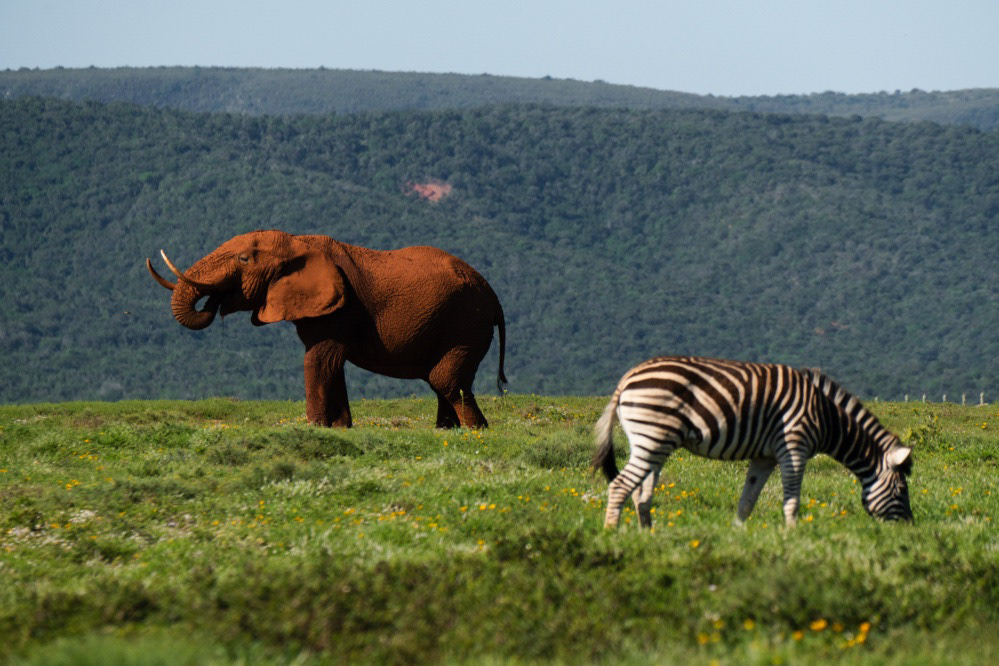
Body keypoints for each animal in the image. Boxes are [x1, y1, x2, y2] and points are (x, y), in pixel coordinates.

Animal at [147, 229, 507, 428]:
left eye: (243, 260)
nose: (217, 300)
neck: (297, 242)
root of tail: (493, 295)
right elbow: (333, 364)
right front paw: (340, 428)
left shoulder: (338, 308)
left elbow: (318, 360)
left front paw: (317, 428)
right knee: (441, 381)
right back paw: (447, 432)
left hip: (465, 323)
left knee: (444, 380)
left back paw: (476, 432)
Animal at [592, 356, 913, 528]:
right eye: (901, 490)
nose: (909, 527)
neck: (826, 416)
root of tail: (629, 376)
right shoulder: (794, 448)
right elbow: (792, 500)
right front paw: (793, 537)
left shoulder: (765, 457)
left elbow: (748, 499)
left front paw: (738, 536)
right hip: (652, 436)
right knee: (620, 485)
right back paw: (612, 534)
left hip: (655, 443)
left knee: (641, 493)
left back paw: (648, 536)